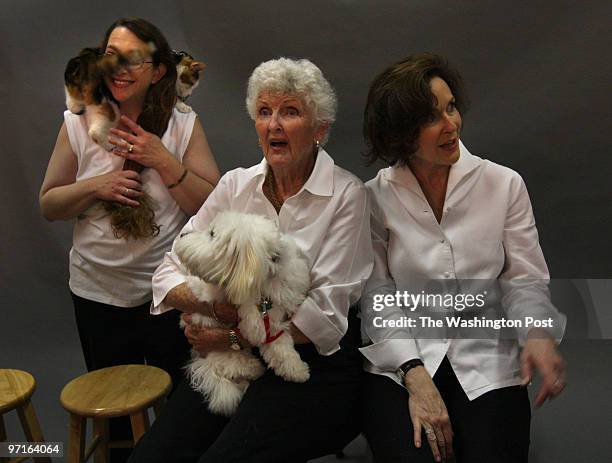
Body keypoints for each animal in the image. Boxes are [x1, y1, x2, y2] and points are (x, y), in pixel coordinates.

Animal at [176, 210, 310, 416]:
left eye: (212, 233)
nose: (182, 234)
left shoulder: (275, 319)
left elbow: (281, 347)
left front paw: (297, 370)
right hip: (216, 346)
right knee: (229, 366)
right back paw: (251, 368)